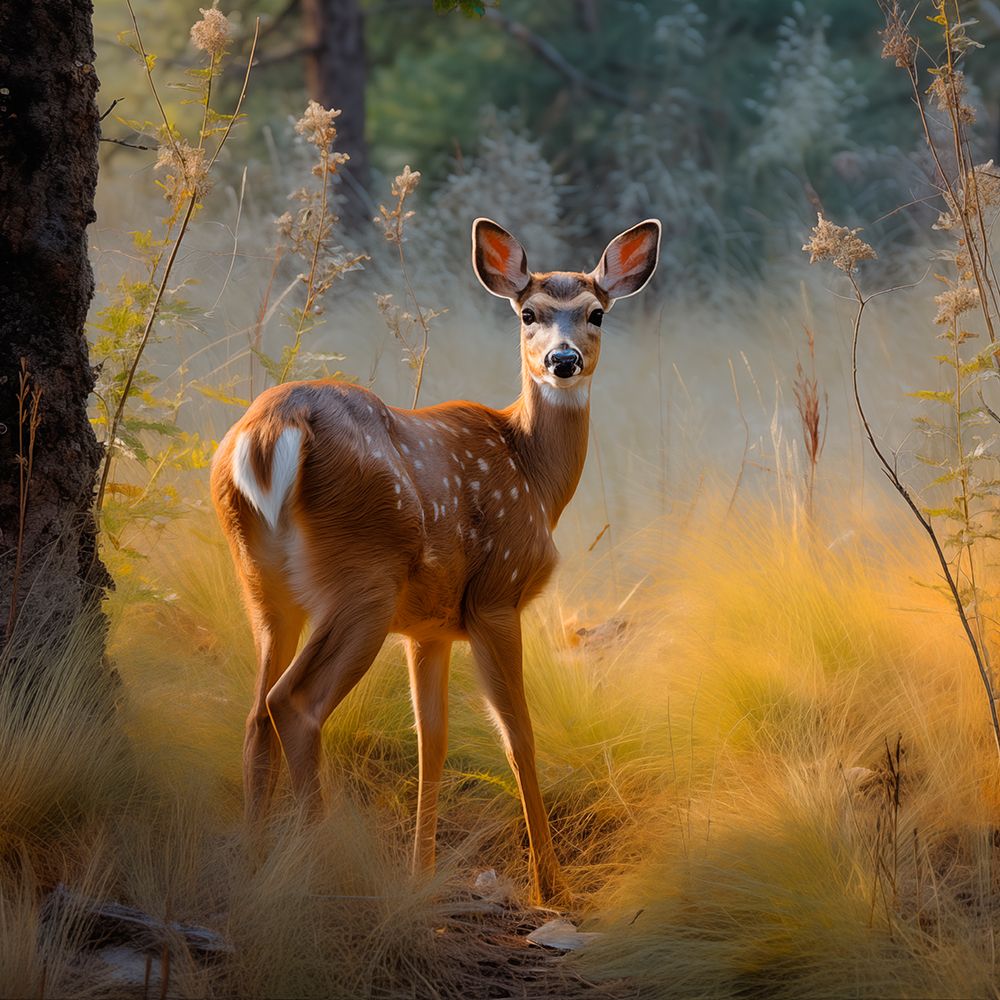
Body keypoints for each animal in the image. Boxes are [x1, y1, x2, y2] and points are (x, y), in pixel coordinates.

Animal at [210, 217, 661, 903]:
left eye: (596, 313)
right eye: (528, 313)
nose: (563, 361)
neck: (533, 474)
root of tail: (268, 435)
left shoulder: (428, 629)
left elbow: (434, 740)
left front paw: (421, 874)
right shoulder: (496, 597)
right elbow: (519, 736)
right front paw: (550, 885)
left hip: (262, 586)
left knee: (256, 713)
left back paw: (257, 864)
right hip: (364, 578)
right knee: (294, 703)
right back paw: (322, 863)